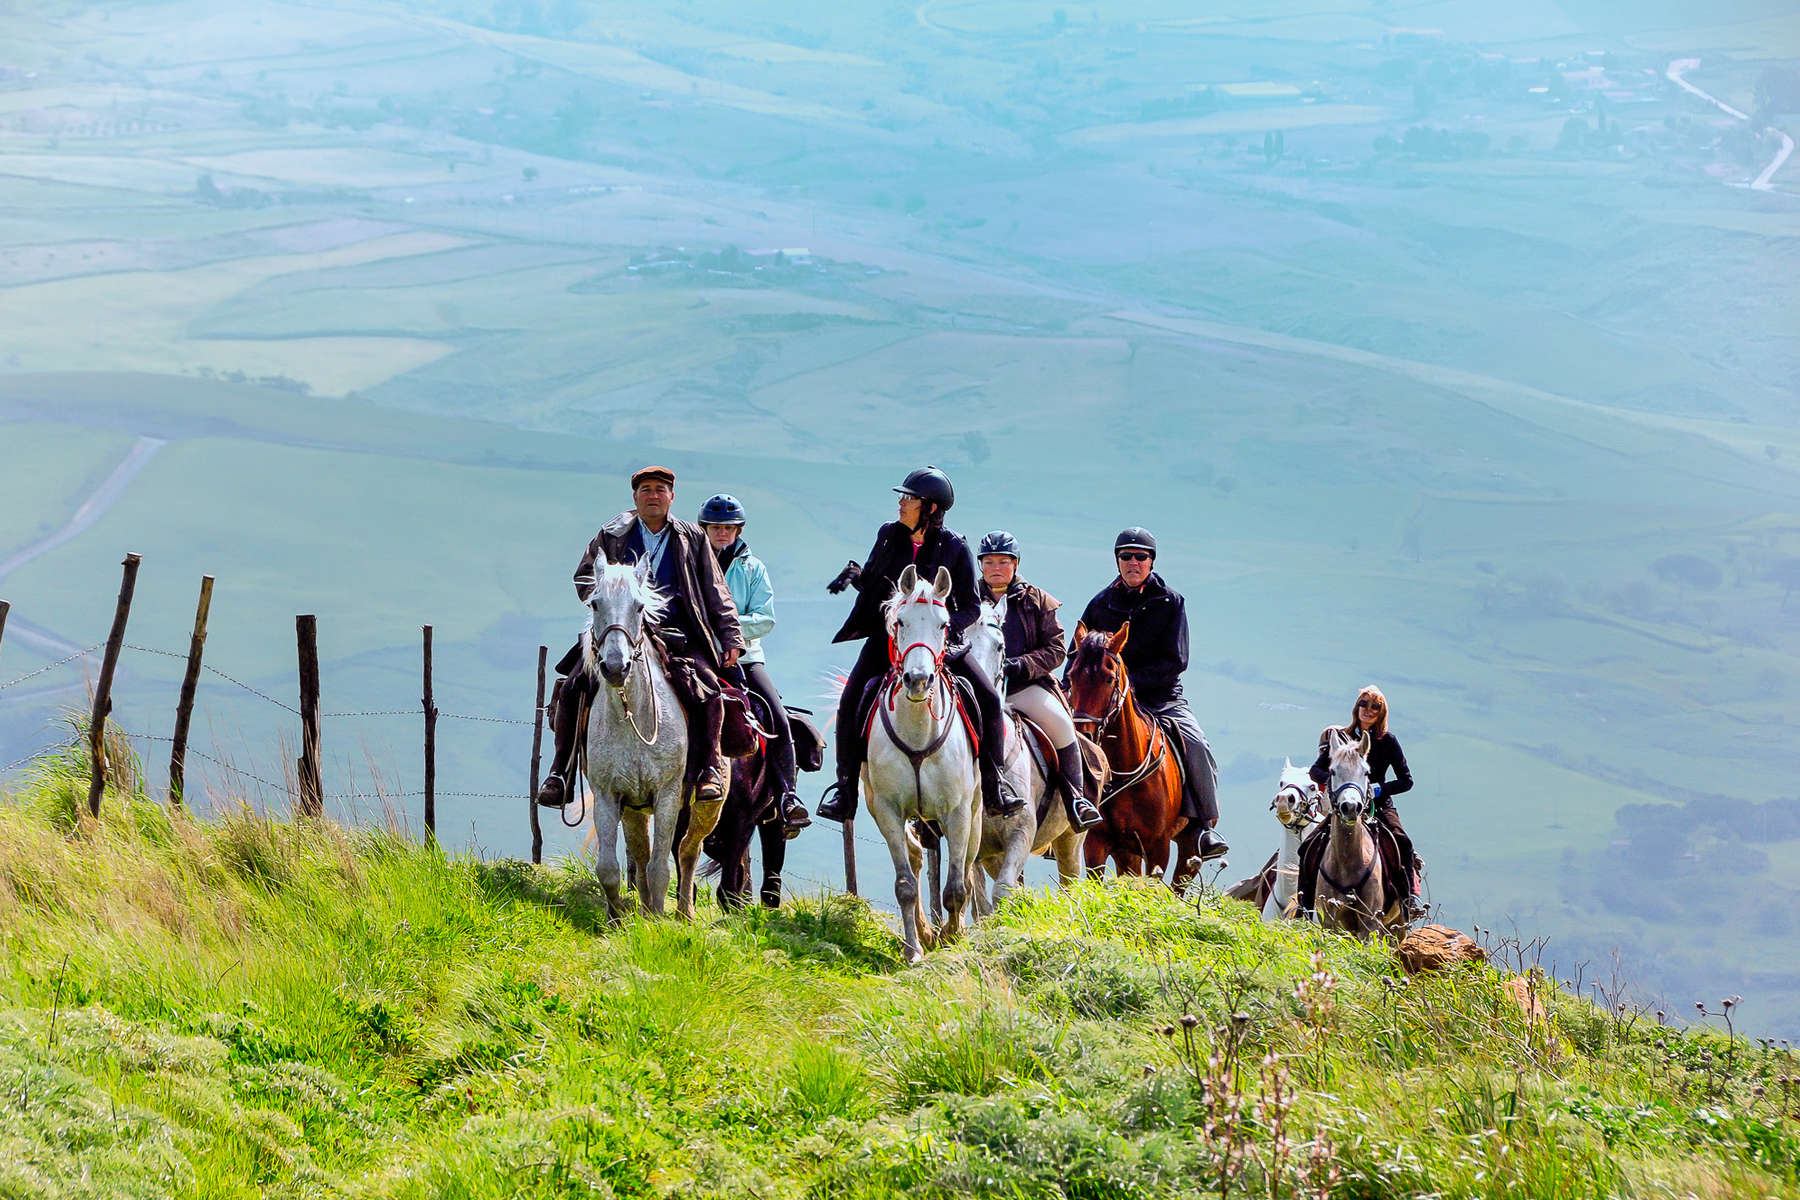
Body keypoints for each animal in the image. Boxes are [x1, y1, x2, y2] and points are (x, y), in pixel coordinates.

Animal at [576, 561, 716, 921]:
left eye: (639, 607)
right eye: (594, 603)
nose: (615, 667)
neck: (632, 716)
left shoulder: (667, 794)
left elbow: (660, 869)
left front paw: (656, 918)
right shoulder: (609, 795)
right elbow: (610, 868)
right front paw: (616, 918)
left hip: (706, 808)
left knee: (688, 851)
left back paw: (684, 912)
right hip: (634, 809)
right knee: (640, 853)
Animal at [864, 564, 979, 964]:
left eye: (944, 625)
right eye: (900, 622)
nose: (917, 680)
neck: (916, 731)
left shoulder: (957, 812)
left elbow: (956, 887)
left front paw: (953, 937)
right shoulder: (887, 810)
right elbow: (905, 885)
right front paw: (914, 949)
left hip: (976, 814)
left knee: (968, 869)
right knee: (915, 858)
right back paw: (926, 932)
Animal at [1058, 629, 1188, 881]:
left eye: (1109, 679)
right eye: (1072, 676)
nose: (1084, 734)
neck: (1123, 770)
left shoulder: (1158, 848)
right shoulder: (1096, 845)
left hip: (1186, 850)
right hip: (1126, 854)